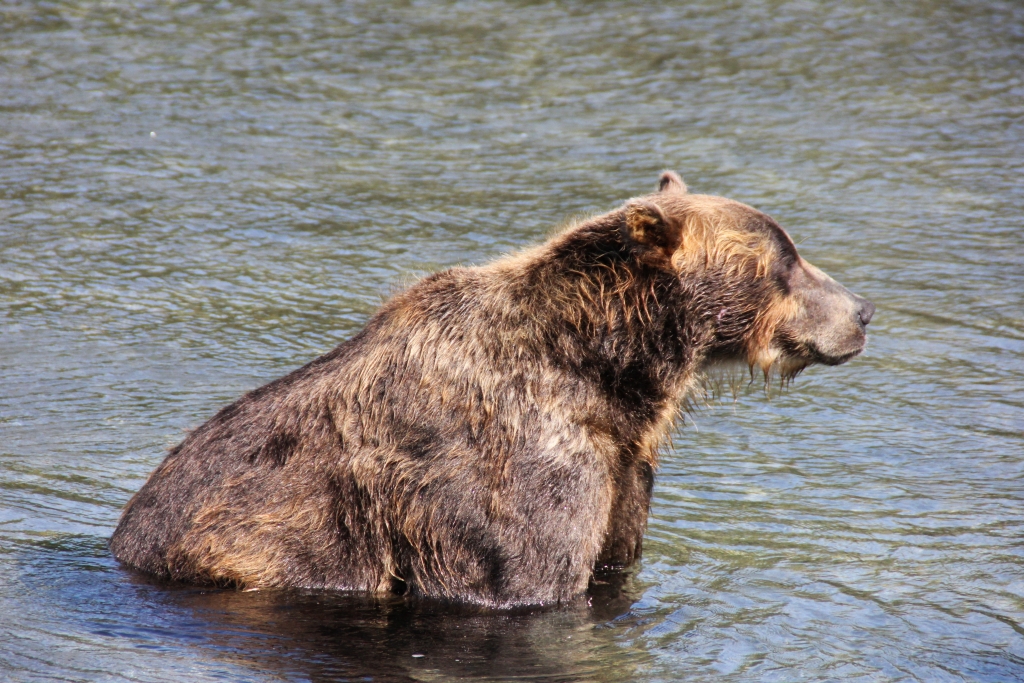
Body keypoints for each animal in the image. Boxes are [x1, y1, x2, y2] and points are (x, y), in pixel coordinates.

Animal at [110, 175, 872, 610]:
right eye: (785, 259)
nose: (861, 310)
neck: (607, 376)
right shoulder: (520, 459)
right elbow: (524, 580)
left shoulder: (621, 466)